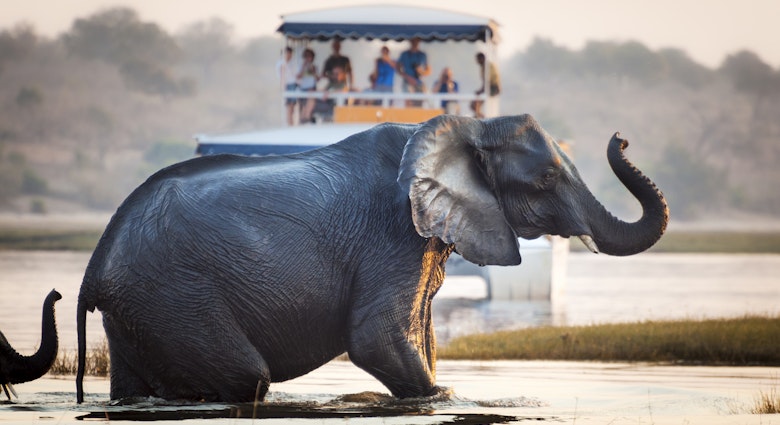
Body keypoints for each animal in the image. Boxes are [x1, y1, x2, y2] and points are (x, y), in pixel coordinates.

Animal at [76, 114, 668, 403]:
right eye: (545, 178)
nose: (621, 137)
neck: (461, 129)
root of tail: (94, 271)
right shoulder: (392, 234)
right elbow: (375, 338)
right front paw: (442, 397)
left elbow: (419, 337)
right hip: (175, 294)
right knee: (246, 377)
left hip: (142, 309)